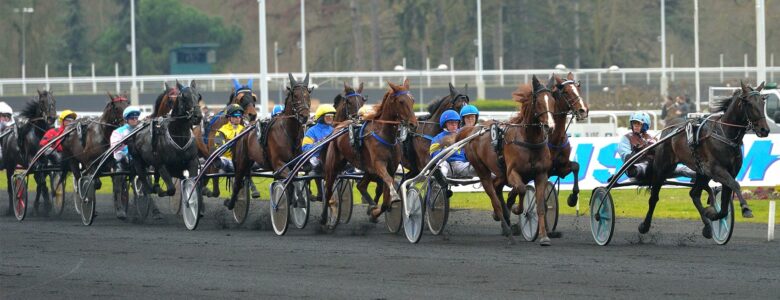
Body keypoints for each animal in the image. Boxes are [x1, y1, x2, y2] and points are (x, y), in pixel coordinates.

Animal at [222, 73, 310, 209]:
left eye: (308, 94)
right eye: (295, 95)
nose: (304, 116)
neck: (288, 133)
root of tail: (243, 131)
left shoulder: (293, 164)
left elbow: (292, 182)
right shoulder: (279, 165)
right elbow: (291, 181)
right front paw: (298, 200)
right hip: (241, 161)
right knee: (237, 182)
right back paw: (231, 203)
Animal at [322, 79, 418, 227]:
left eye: (412, 100)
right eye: (401, 101)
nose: (414, 124)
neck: (385, 135)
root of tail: (338, 126)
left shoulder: (390, 168)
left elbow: (385, 201)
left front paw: (374, 212)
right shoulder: (379, 165)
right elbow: (388, 181)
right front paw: (394, 196)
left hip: (368, 168)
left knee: (361, 185)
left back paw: (372, 205)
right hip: (333, 165)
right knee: (328, 190)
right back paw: (323, 218)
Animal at [454, 76, 556, 245]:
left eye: (553, 100)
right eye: (539, 101)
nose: (550, 126)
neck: (529, 141)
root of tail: (473, 130)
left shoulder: (541, 174)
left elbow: (540, 206)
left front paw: (544, 236)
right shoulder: (512, 172)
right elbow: (521, 189)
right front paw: (516, 208)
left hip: (500, 171)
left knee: (497, 186)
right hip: (482, 170)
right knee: (494, 197)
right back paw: (507, 229)